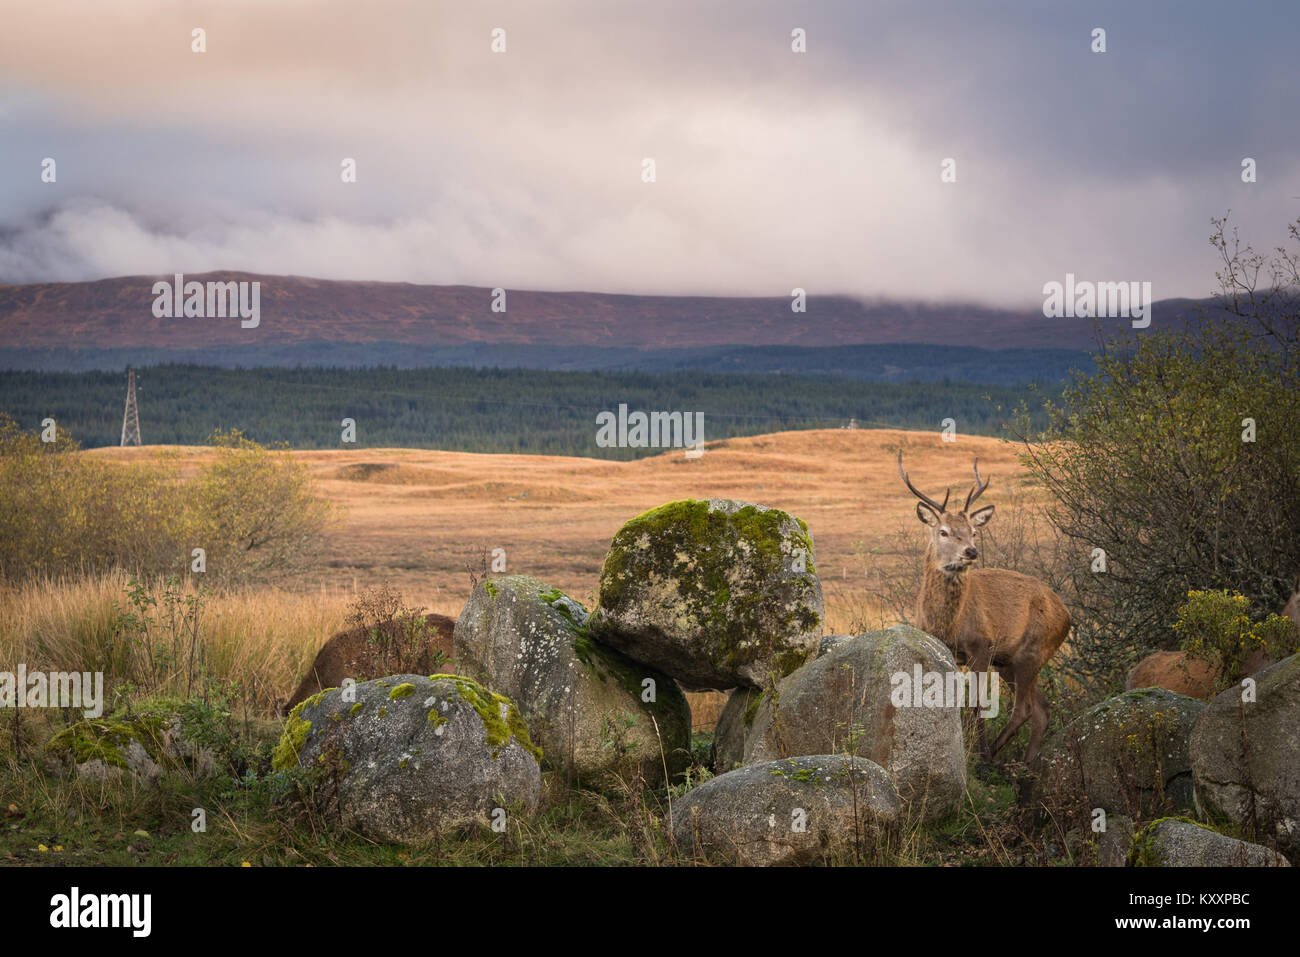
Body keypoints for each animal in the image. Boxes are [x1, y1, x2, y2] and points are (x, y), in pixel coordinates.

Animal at [897, 452, 1071, 763]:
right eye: (943, 531)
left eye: (974, 531)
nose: (971, 551)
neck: (949, 623)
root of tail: (1068, 616)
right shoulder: (948, 651)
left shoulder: (981, 645)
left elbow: (978, 703)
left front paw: (976, 752)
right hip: (1010, 661)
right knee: (1042, 709)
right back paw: (1027, 766)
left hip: (1033, 649)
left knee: (1025, 708)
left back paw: (991, 756)